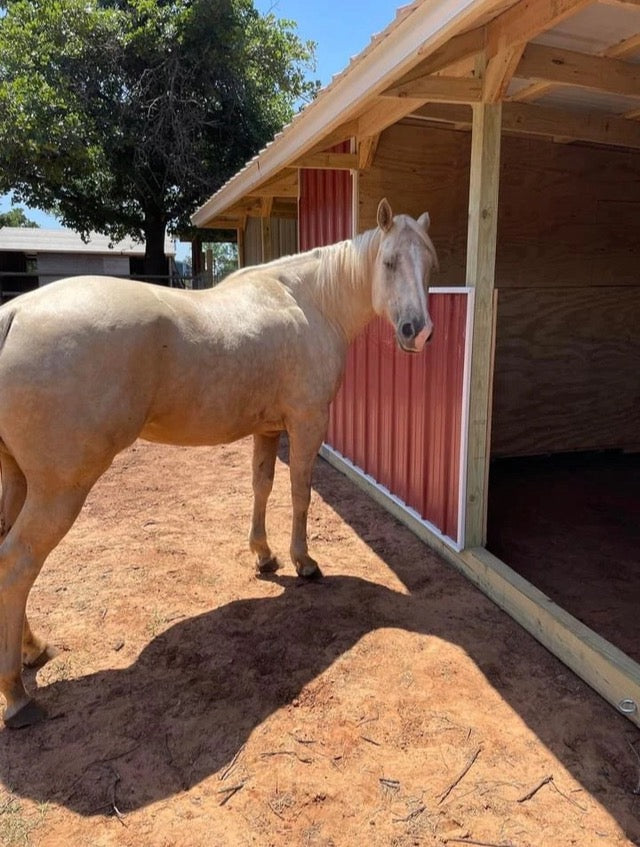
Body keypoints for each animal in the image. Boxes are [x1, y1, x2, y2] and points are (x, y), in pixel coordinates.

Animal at [0, 200, 436, 728]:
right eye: (389, 262)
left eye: (430, 265)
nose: (418, 332)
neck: (309, 301)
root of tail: (16, 312)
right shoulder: (308, 422)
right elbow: (300, 492)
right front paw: (304, 562)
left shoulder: (268, 429)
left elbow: (262, 485)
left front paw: (264, 556)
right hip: (60, 490)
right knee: (16, 565)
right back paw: (17, 695)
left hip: (17, 480)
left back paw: (33, 650)